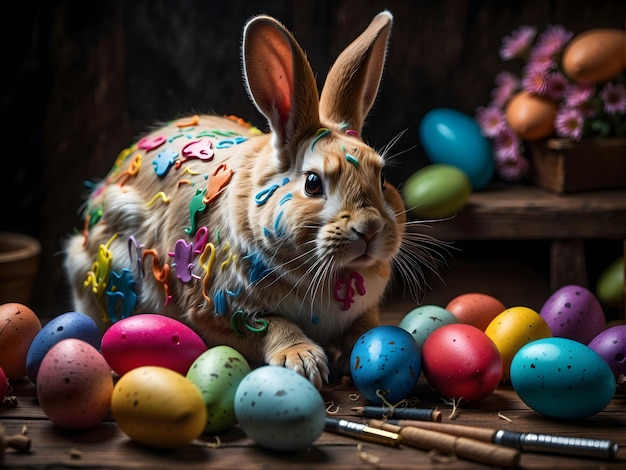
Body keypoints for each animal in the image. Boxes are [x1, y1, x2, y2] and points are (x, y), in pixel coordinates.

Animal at [62, 11, 434, 390]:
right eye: (313, 183)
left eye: (382, 177)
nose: (369, 229)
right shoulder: (215, 312)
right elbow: (273, 326)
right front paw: (303, 360)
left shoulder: (364, 309)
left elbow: (365, 327)